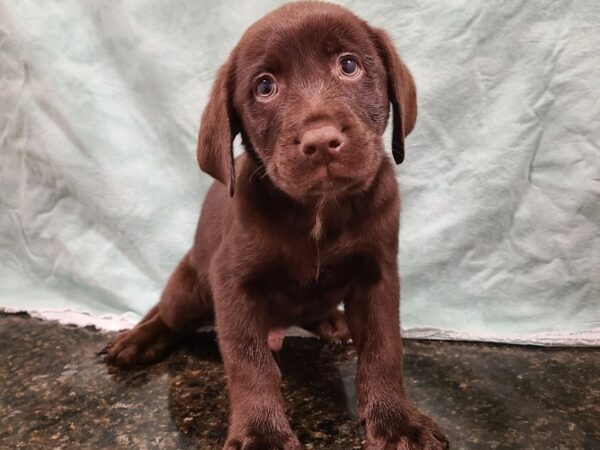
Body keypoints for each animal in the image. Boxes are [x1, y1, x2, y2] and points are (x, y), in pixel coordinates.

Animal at [105, 3, 448, 450]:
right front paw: (262, 433)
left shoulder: (378, 273)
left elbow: (383, 347)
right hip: (187, 293)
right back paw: (138, 340)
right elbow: (250, 362)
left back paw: (331, 321)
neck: (319, 208)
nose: (321, 142)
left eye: (349, 65)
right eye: (265, 87)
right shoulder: (232, 283)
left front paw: (396, 421)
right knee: (168, 317)